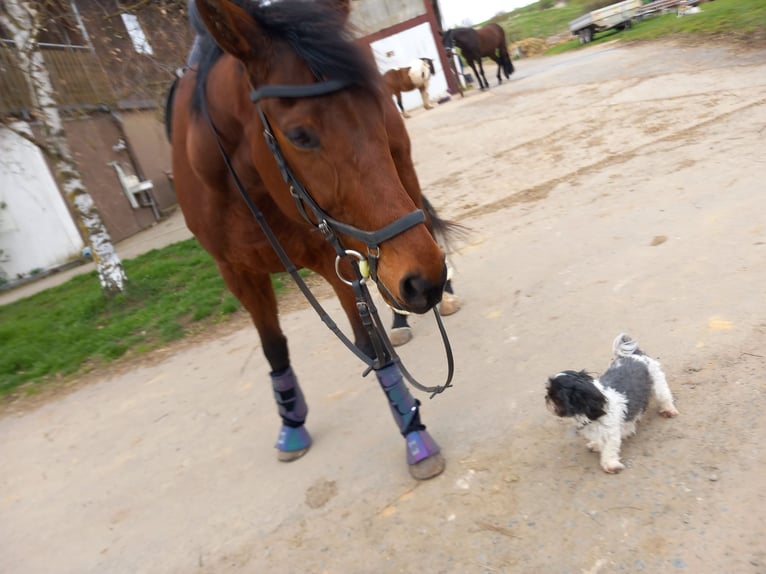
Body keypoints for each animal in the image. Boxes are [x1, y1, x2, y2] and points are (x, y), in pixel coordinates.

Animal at [171, 0, 452, 482]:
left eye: (374, 111)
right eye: (300, 135)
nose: (426, 281)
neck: (241, 187)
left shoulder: (332, 258)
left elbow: (372, 349)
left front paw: (414, 436)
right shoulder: (237, 273)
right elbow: (273, 348)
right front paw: (291, 423)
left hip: (403, 185)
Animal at [544, 336, 680, 474]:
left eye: (556, 397)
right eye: (549, 392)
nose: (546, 398)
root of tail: (636, 355)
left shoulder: (611, 433)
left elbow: (609, 448)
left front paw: (610, 464)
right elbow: (598, 439)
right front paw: (596, 445)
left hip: (658, 384)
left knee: (664, 397)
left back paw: (668, 410)